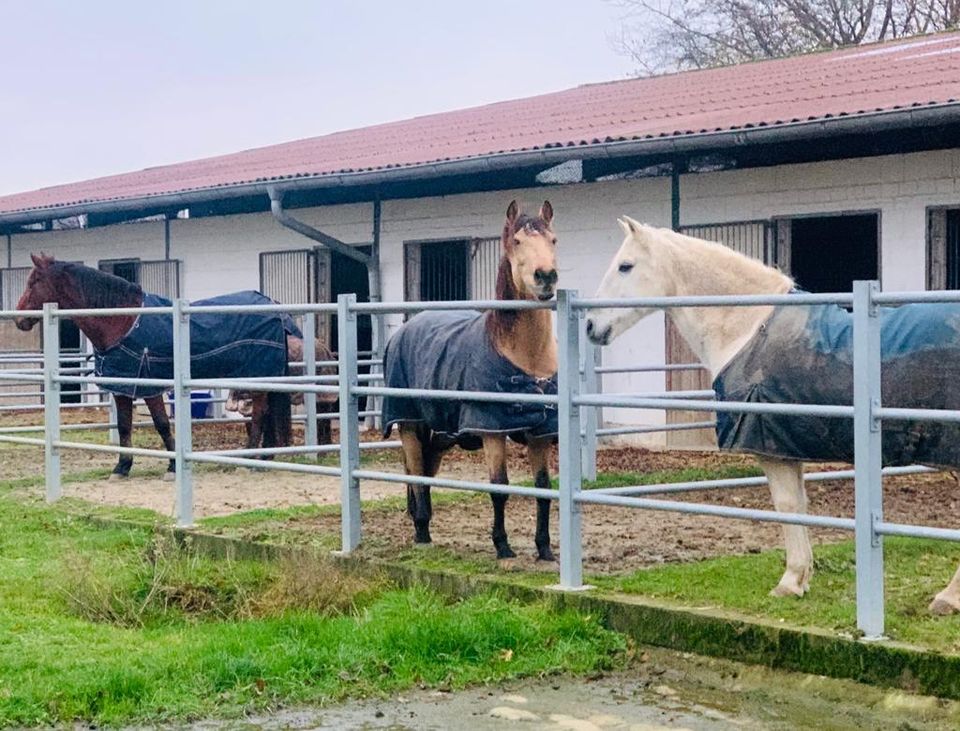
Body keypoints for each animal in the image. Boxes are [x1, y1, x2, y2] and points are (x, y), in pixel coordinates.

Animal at [15, 256, 304, 480]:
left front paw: (173, 467)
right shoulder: (122, 387)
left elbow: (162, 424)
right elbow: (124, 426)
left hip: (257, 375)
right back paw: (264, 458)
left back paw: (250, 462)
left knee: (259, 415)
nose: (19, 319)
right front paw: (122, 467)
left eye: (34, 281)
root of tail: (274, 305)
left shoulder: (149, 385)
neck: (122, 322)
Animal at [382, 203, 560, 564]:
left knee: (425, 472)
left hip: (439, 434)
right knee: (416, 473)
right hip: (409, 423)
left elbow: (543, 490)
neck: (525, 359)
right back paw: (421, 531)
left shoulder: (540, 434)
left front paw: (544, 548)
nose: (546, 276)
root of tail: (404, 330)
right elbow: (499, 487)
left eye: (553, 239)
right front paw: (502, 546)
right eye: (517, 241)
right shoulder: (492, 430)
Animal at [580, 219, 960, 616]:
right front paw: (802, 578)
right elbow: (800, 506)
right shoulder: (787, 446)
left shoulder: (771, 449)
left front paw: (789, 582)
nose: (591, 325)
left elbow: (787, 506)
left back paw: (947, 598)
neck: (747, 326)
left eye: (625, 266)